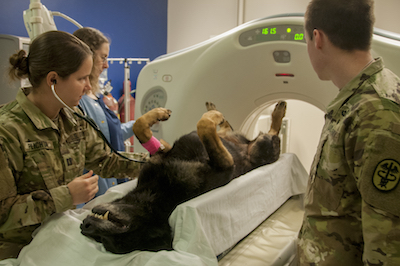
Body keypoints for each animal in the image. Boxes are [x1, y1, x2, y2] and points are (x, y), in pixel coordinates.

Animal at [81, 101, 286, 254]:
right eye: (104, 240)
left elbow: (140, 126)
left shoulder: (162, 152)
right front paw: (213, 116)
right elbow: (204, 127)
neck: (157, 192)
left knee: (233, 129)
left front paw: (159, 113)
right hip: (262, 147)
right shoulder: (226, 164)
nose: (84, 226)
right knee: (272, 134)